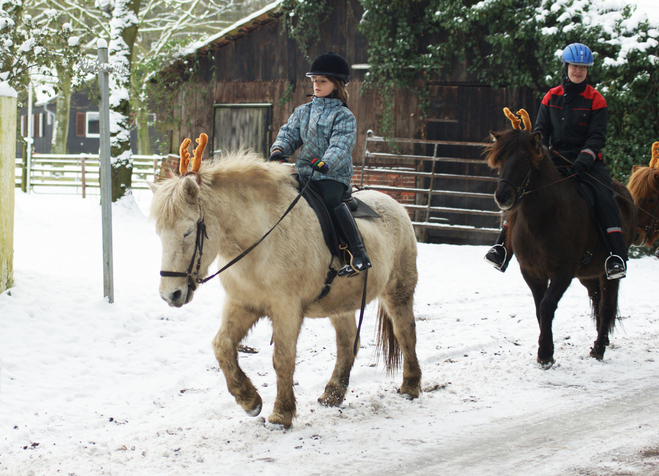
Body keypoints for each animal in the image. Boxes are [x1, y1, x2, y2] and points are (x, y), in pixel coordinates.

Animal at [148, 151, 422, 430]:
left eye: (188, 231)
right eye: (158, 233)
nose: (170, 295)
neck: (261, 240)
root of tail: (394, 204)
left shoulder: (286, 310)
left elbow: (282, 359)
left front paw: (282, 413)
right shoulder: (242, 304)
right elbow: (222, 346)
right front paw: (249, 400)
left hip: (398, 289)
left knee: (405, 332)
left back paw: (410, 385)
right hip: (340, 305)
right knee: (347, 344)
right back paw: (333, 393)